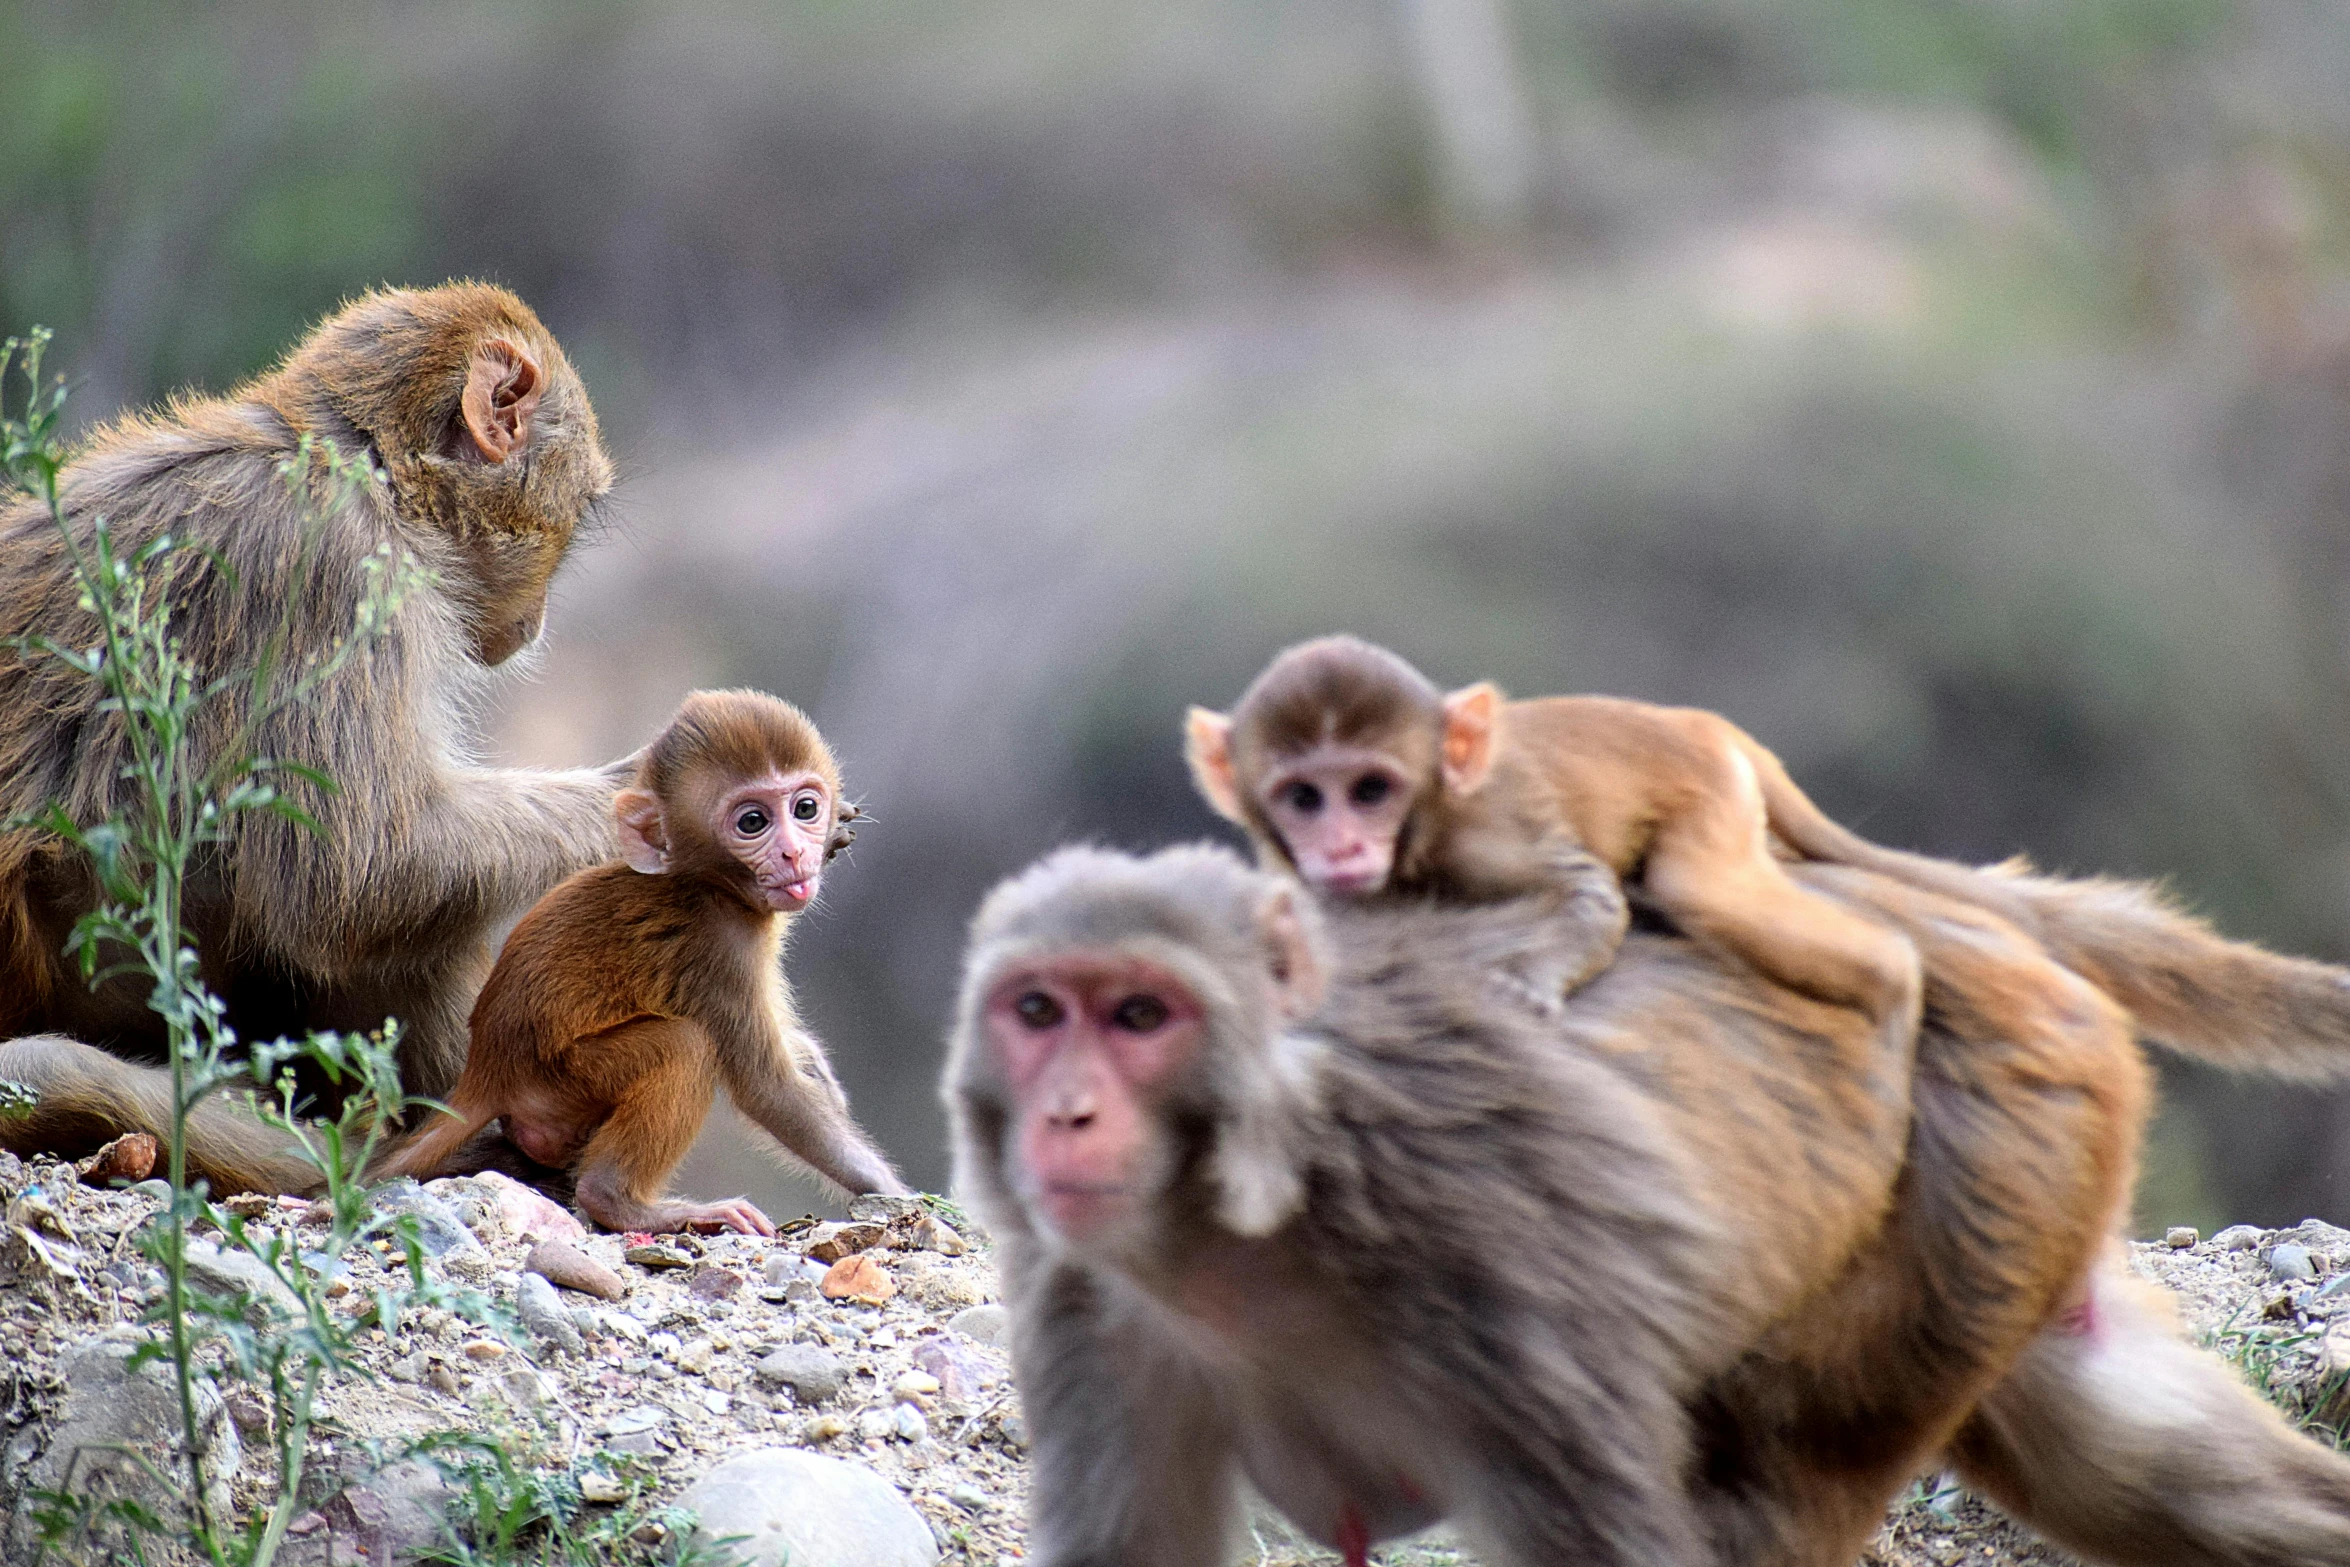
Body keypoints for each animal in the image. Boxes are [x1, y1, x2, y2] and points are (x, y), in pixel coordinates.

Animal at [380, 690, 902, 1231]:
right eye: (753, 822)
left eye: (805, 808)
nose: (794, 853)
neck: (707, 885)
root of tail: (485, 1072)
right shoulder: (718, 949)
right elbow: (770, 1091)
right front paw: (896, 1192)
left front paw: (818, 1070)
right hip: (565, 1079)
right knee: (684, 1046)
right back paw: (621, 1202)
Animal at [939, 850, 2350, 1559]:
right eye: (1036, 1009)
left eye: (1140, 1014)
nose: (1066, 1115)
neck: (1246, 1215)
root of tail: (1938, 908)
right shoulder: (1090, 1307)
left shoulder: (1492, 1275)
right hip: (2026, 1194)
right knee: (2146, 1467)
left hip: (1974, 1177)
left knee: (1770, 1488)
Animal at [1184, 639, 1917, 1043]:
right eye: (1304, 798)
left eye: (1369, 790)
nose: (1340, 848)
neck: (1430, 816)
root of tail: (1701, 723)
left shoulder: (1490, 831)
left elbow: (1587, 890)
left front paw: (1532, 979)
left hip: (1712, 792)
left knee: (1700, 892)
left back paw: (1895, 985)